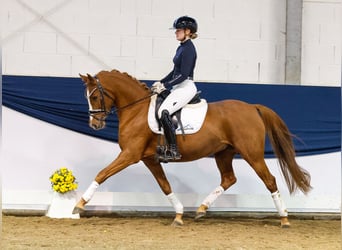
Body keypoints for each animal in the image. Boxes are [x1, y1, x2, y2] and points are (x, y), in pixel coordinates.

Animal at [73, 69, 312, 228]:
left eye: (95, 96)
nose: (95, 125)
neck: (137, 110)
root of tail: (252, 107)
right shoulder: (149, 159)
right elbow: (165, 186)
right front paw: (179, 215)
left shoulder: (130, 154)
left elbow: (102, 173)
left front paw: (79, 205)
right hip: (223, 153)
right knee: (229, 179)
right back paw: (201, 209)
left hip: (252, 154)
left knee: (269, 180)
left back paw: (284, 218)